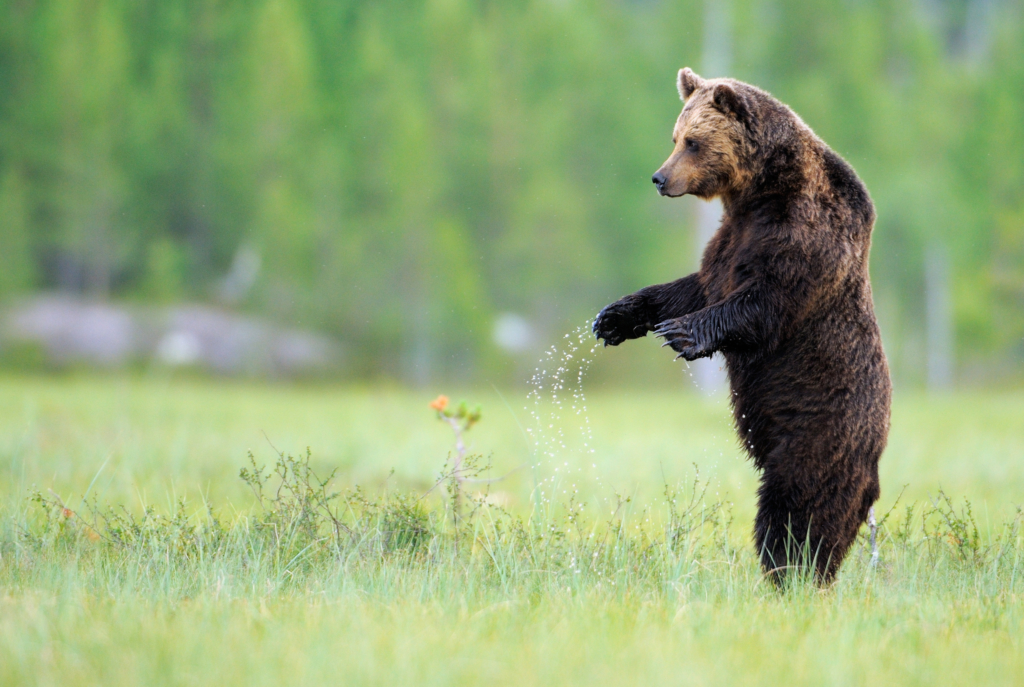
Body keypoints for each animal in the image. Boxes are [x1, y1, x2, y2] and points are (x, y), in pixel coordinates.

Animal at [598, 68, 892, 585]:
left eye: (693, 142)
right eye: (675, 137)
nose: (659, 178)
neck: (760, 192)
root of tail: (875, 461)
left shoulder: (807, 233)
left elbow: (764, 300)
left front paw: (681, 332)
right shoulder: (730, 238)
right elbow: (698, 285)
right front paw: (615, 317)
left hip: (821, 429)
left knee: (801, 505)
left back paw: (792, 571)